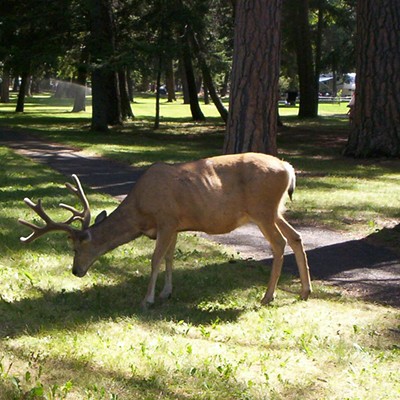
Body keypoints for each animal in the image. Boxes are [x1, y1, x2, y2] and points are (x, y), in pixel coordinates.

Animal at [18, 152, 312, 308]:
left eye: (76, 247)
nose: (75, 271)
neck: (140, 211)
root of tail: (287, 168)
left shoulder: (167, 220)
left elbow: (155, 259)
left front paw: (147, 299)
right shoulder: (177, 224)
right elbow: (170, 257)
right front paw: (166, 292)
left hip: (263, 209)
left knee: (279, 243)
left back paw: (268, 296)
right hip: (276, 210)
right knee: (296, 238)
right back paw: (304, 292)